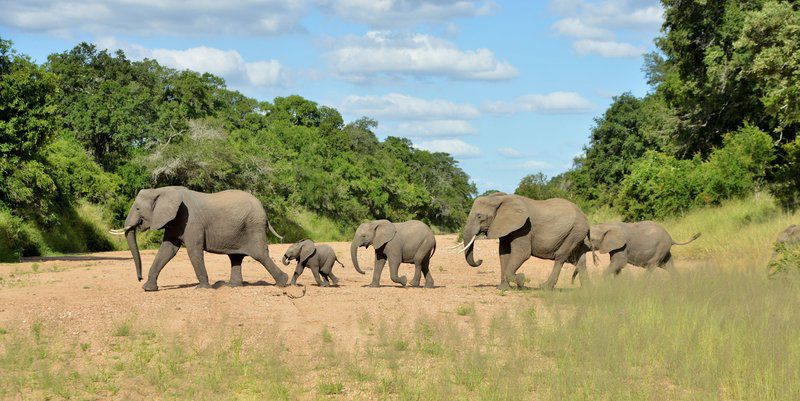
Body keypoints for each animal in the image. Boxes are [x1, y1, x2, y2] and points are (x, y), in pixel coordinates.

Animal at [110, 186, 288, 290]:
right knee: (235, 257)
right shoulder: (174, 222)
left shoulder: (191, 221)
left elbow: (193, 250)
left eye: (138, 208)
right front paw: (148, 289)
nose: (139, 279)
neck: (163, 191)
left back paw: (282, 282)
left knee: (260, 254)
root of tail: (264, 211)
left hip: (253, 226)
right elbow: (167, 250)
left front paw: (202, 288)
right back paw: (232, 286)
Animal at [456, 192, 588, 290]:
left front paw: (521, 279)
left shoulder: (524, 227)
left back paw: (545, 287)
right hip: (577, 234)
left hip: (575, 231)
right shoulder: (506, 227)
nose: (480, 260)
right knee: (580, 260)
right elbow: (504, 254)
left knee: (560, 256)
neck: (500, 199)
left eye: (479, 216)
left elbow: (522, 254)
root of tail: (584, 215)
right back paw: (587, 291)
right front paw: (503, 289)